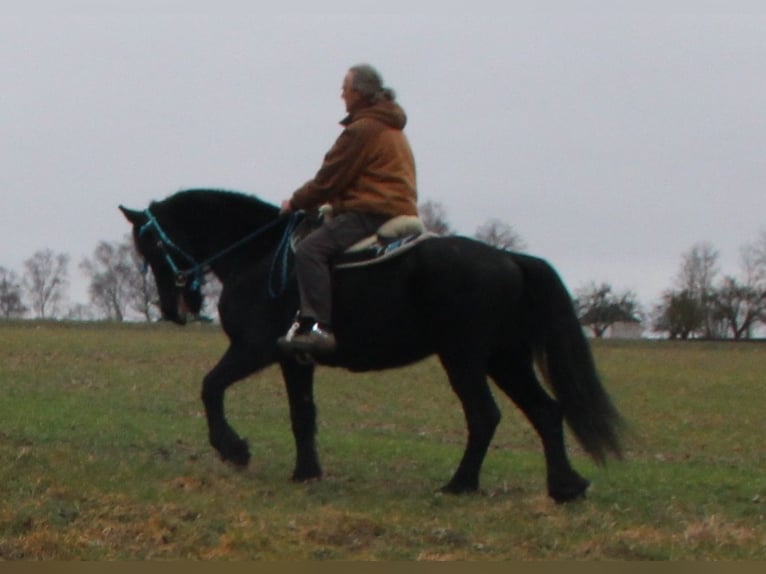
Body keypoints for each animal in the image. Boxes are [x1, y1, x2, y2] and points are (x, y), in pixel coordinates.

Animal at [121, 190, 624, 504]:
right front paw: (306, 473)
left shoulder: (254, 349)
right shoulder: (294, 358)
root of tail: (509, 258)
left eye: (151, 246)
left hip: (465, 359)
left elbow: (210, 387)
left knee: (485, 416)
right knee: (547, 412)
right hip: (505, 360)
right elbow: (302, 415)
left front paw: (234, 449)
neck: (257, 256)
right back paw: (565, 487)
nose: (173, 309)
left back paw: (460, 485)